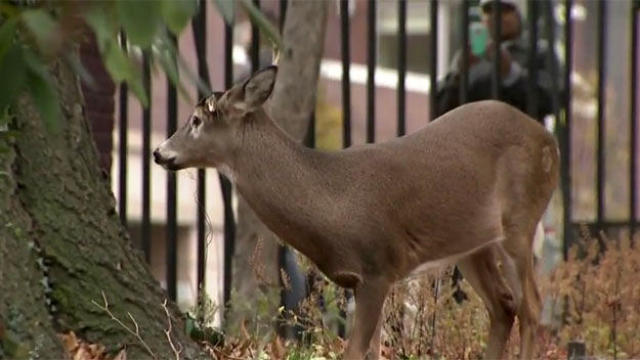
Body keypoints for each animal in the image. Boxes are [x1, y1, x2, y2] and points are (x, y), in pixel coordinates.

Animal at [155, 66, 560, 358]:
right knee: (504, 306)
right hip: (472, 244)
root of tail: (548, 137)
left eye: (196, 120)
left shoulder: (378, 268)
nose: (159, 152)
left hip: (520, 220)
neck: (332, 202)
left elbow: (354, 352)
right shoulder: (363, 280)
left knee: (533, 307)